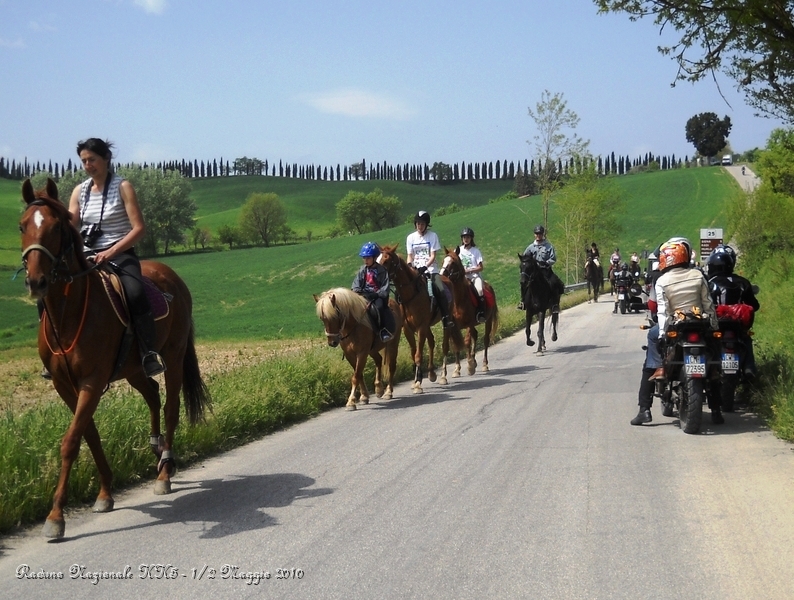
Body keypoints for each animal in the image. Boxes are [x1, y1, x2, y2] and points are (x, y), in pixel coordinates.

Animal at [19, 178, 210, 540]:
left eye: (55, 227)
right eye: (22, 226)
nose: (36, 281)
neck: (69, 313)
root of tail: (171, 275)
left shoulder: (91, 383)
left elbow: (71, 441)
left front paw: (56, 516)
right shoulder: (66, 386)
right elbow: (88, 435)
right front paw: (105, 492)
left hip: (174, 355)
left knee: (171, 406)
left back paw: (165, 470)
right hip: (134, 368)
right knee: (152, 394)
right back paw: (156, 446)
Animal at [378, 245, 464, 394]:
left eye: (386, 261)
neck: (411, 295)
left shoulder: (421, 327)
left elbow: (418, 354)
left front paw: (418, 384)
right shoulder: (408, 329)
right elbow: (414, 353)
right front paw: (416, 380)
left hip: (445, 322)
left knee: (445, 346)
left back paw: (442, 376)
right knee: (432, 342)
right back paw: (431, 373)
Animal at [436, 248, 498, 384]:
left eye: (453, 262)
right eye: (443, 260)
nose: (442, 276)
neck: (459, 301)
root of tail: (488, 285)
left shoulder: (469, 323)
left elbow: (466, 341)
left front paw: (469, 366)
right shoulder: (453, 326)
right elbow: (454, 346)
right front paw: (454, 371)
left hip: (488, 320)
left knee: (485, 339)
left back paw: (484, 365)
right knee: (475, 335)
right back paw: (474, 361)